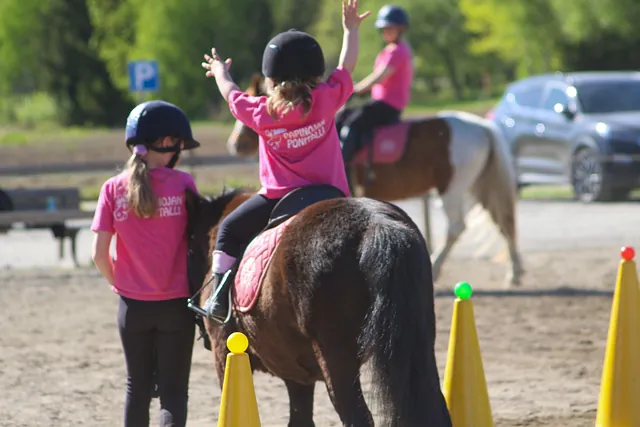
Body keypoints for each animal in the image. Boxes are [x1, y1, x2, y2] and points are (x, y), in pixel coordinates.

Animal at [185, 187, 452, 427]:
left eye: (188, 249)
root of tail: (376, 224)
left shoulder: (225, 353)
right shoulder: (296, 373)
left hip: (336, 357)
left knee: (357, 417)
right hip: (417, 347)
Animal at [226, 72, 524, 288]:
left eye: (255, 98)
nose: (235, 144)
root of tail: (482, 127)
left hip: (452, 188)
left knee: (457, 227)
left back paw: (438, 266)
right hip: (478, 187)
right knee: (503, 222)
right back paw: (515, 271)